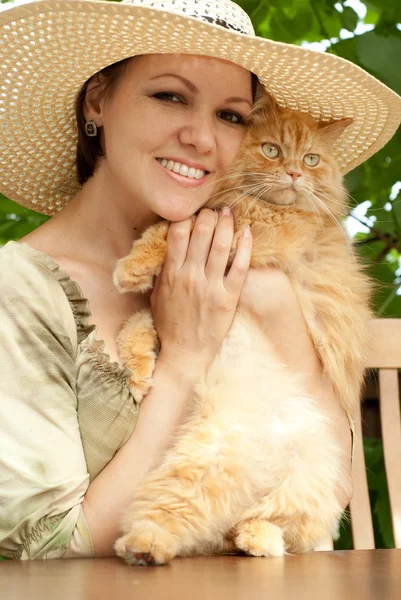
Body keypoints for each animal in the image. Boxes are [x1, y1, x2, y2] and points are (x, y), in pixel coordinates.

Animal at [110, 91, 372, 564]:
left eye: (310, 159)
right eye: (271, 150)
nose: (294, 173)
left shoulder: (253, 230)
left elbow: (175, 225)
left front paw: (132, 265)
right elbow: (137, 322)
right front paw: (137, 370)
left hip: (286, 477)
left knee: (267, 524)